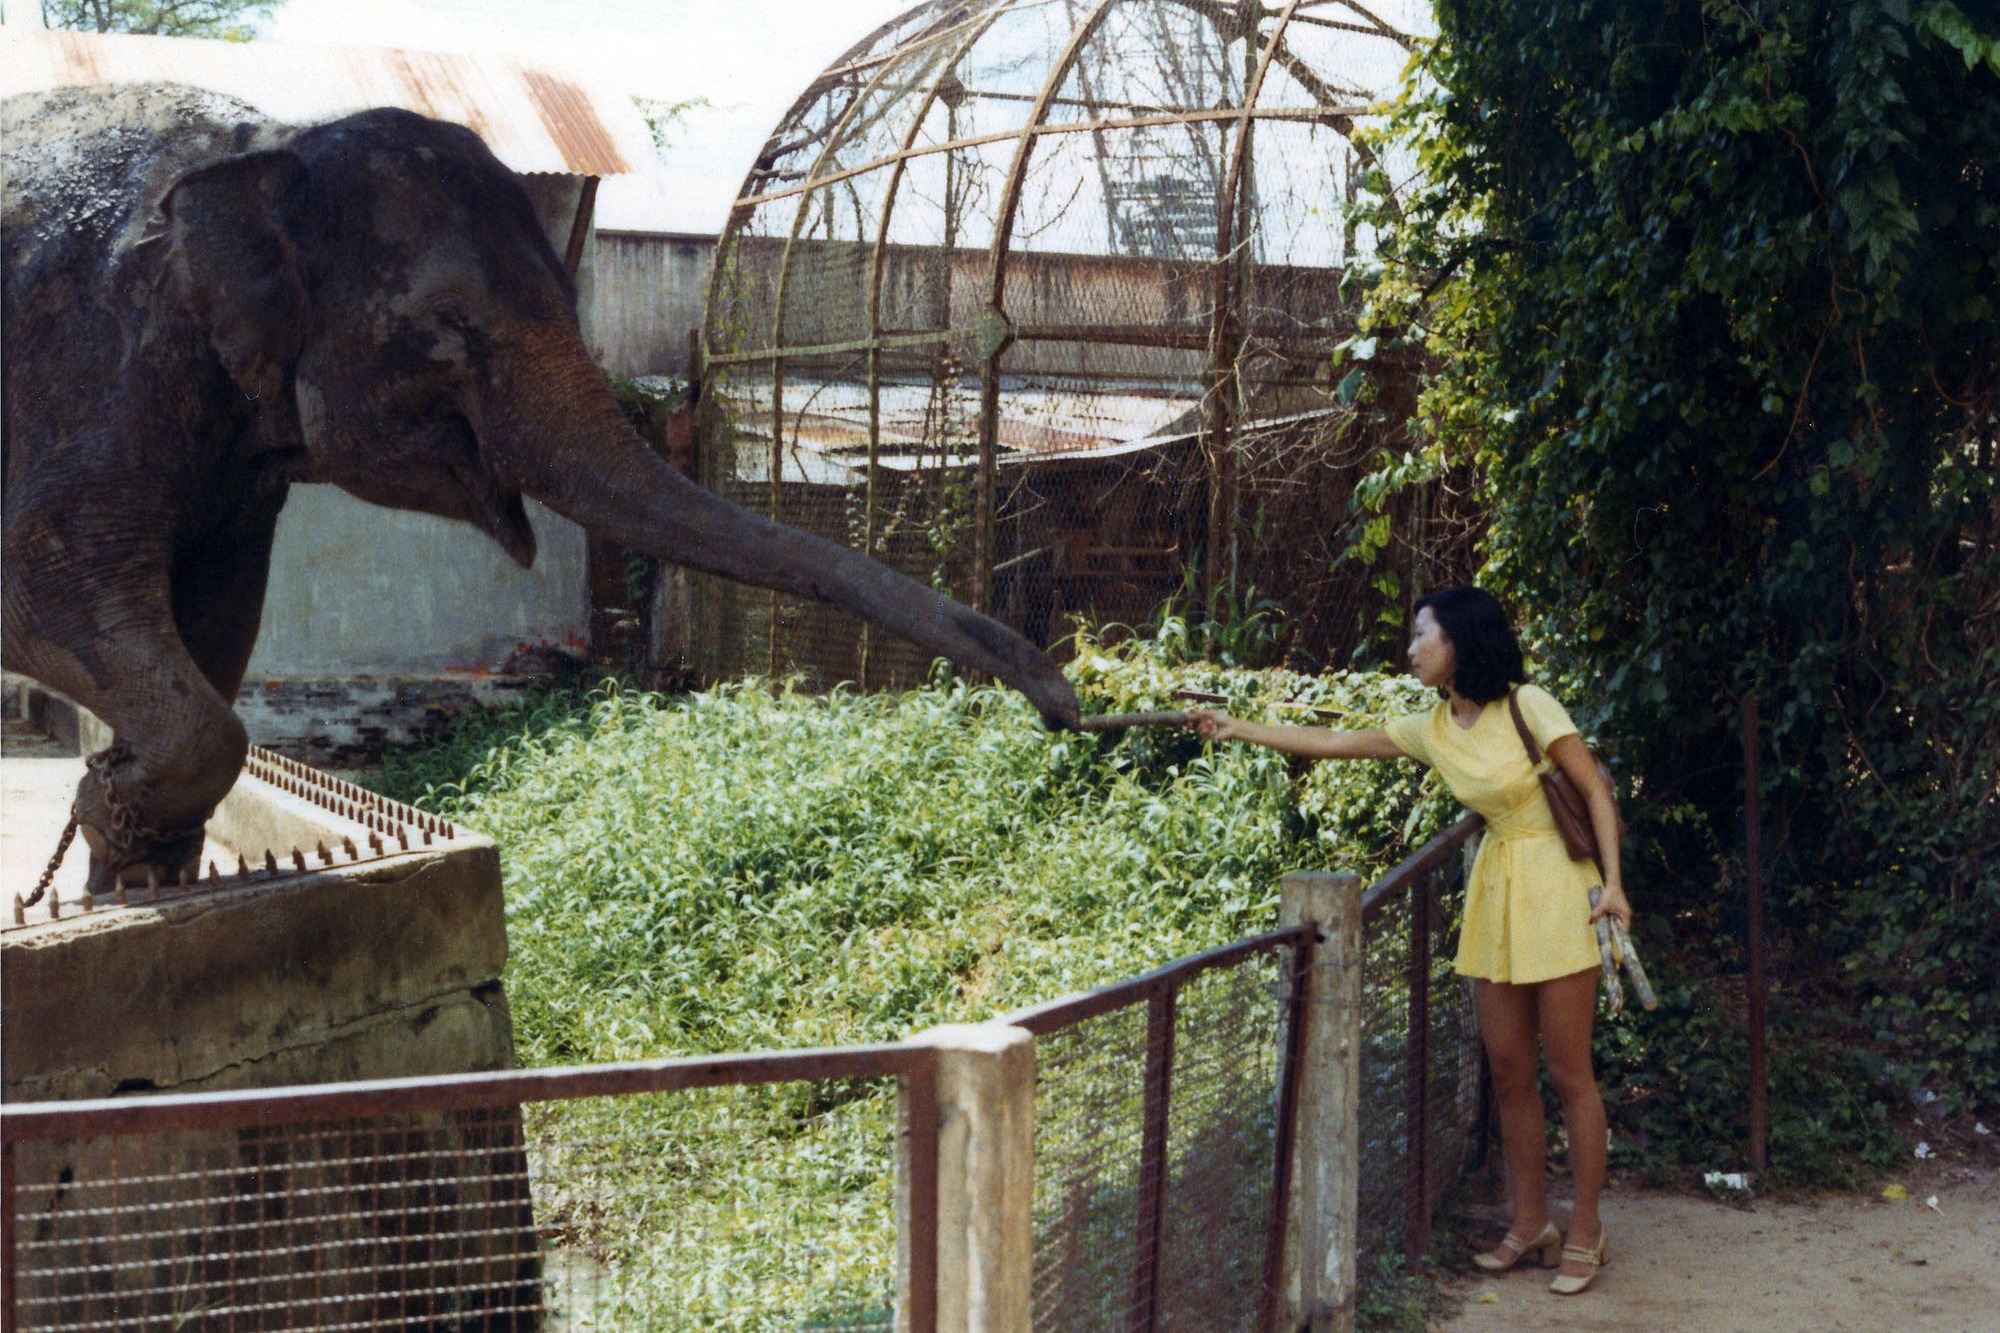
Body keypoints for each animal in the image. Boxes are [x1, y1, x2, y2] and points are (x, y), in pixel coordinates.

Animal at [3, 85, 1080, 892]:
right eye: (445, 323)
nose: (1075, 711)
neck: (270, 139)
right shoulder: (83, 376)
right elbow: (42, 598)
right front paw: (108, 811)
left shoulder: (230, 467)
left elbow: (220, 612)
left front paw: (129, 862)